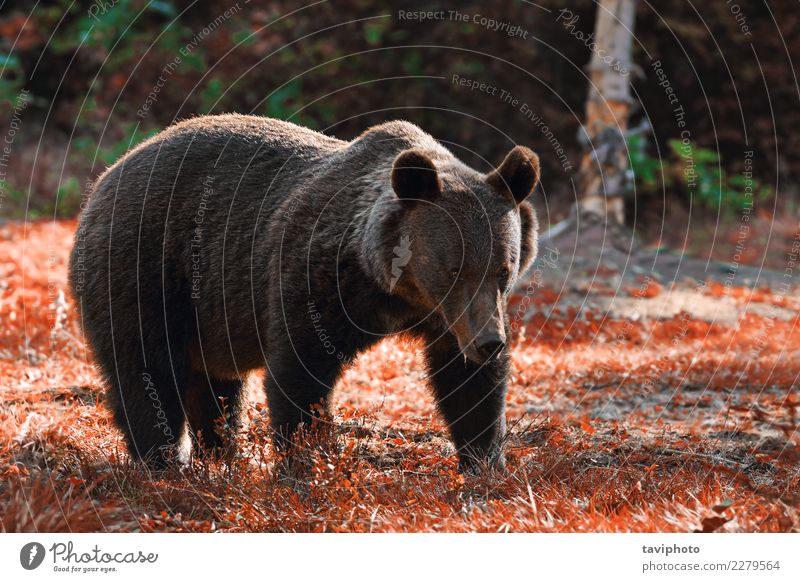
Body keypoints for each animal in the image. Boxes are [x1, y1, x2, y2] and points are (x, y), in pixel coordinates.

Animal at [69, 115, 540, 474]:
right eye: (453, 269)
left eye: (503, 269)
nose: (489, 342)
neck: (393, 291)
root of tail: (104, 179)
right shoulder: (316, 280)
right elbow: (300, 372)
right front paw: (305, 464)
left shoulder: (448, 318)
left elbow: (467, 385)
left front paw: (485, 464)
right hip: (146, 269)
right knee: (145, 371)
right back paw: (166, 462)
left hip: (210, 314)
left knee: (216, 385)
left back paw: (222, 454)